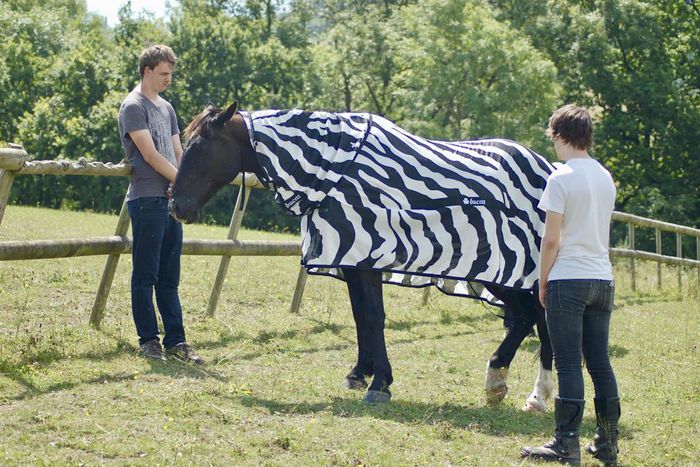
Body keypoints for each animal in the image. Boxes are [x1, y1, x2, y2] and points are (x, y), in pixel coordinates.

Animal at [170, 102, 554, 409]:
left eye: (199, 147)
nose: (176, 207)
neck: (335, 172)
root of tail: (546, 169)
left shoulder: (368, 255)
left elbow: (373, 316)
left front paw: (380, 383)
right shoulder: (352, 260)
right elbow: (360, 317)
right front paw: (360, 373)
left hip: (511, 270)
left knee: (535, 319)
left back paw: (531, 392)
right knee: (528, 318)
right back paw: (504, 384)